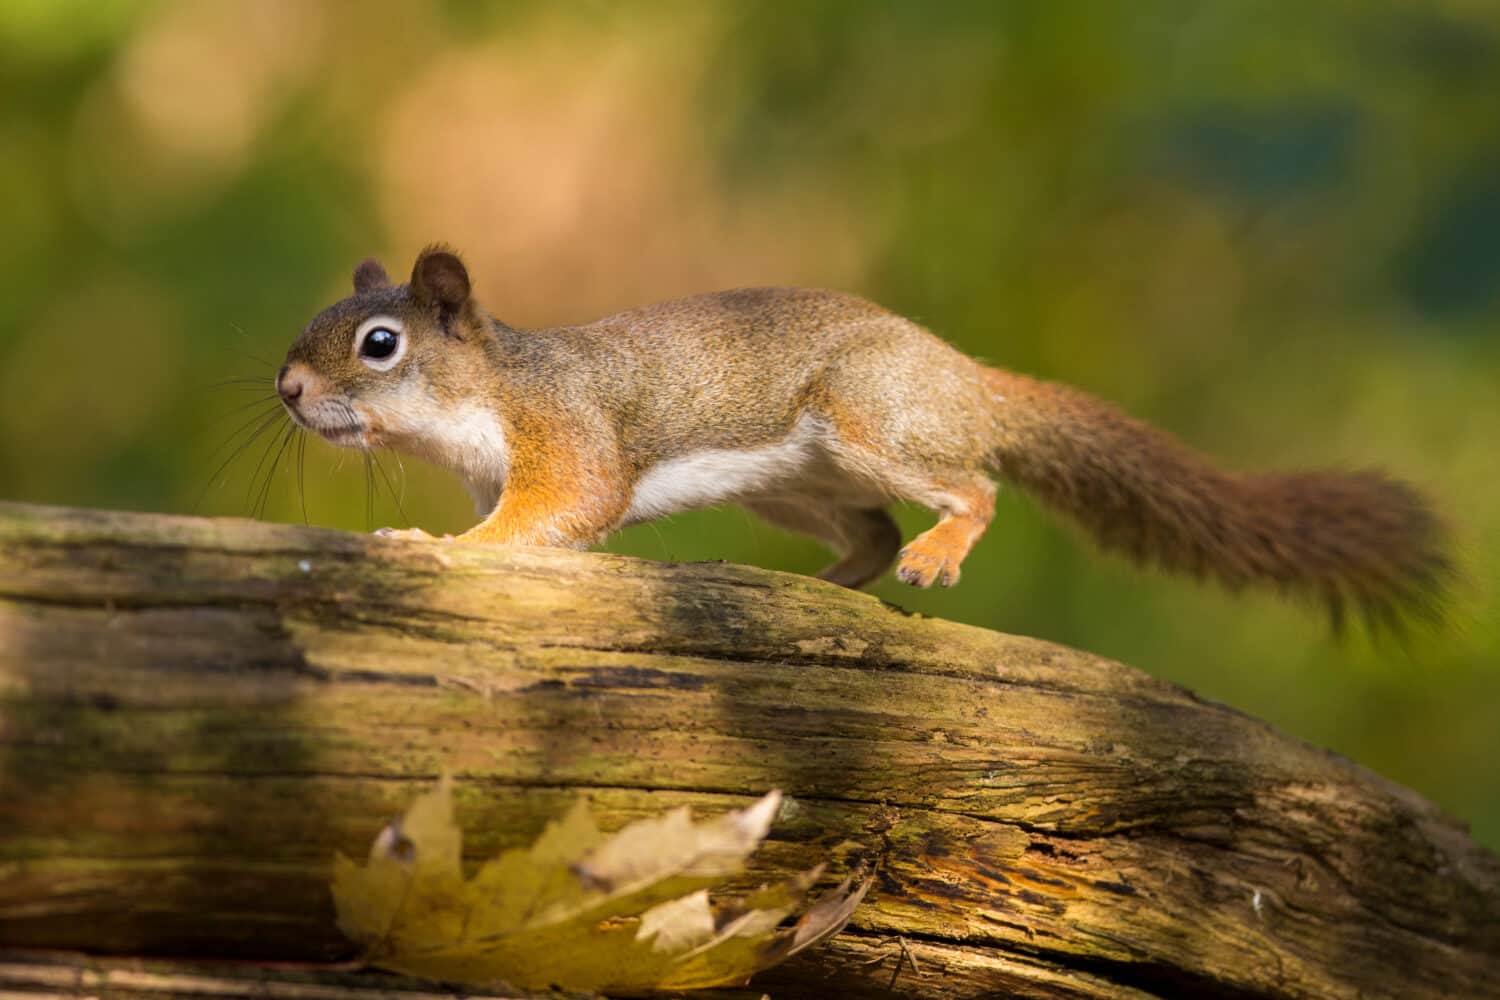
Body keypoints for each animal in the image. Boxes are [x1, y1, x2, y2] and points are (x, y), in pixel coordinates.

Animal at [276, 245, 1446, 620]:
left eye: (378, 344)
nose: (286, 390)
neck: (485, 393)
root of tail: (966, 379)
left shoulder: (565, 435)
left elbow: (561, 510)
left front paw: (436, 549)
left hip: (870, 419)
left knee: (972, 489)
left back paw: (937, 549)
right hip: (794, 486)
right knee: (872, 533)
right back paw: (817, 585)